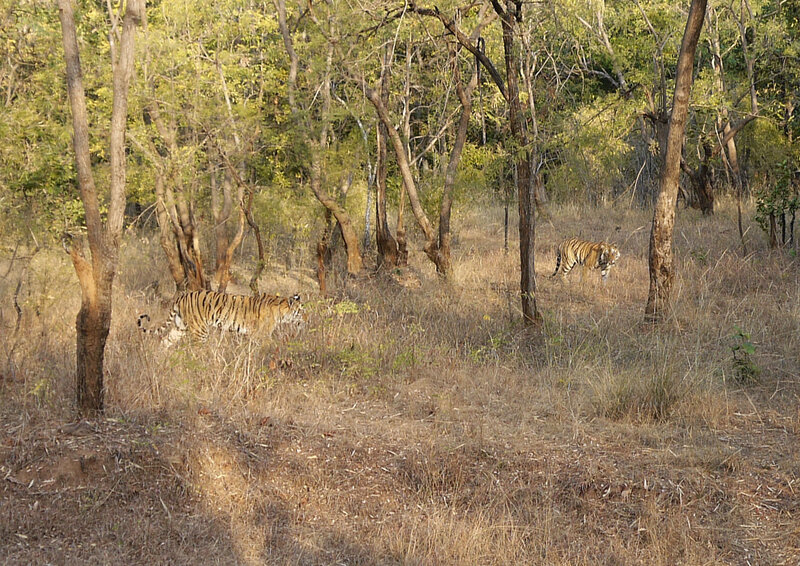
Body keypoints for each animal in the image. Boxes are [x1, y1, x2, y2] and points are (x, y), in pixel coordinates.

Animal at [137, 290, 306, 346]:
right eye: (301, 311)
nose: (306, 319)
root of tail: (181, 296)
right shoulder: (261, 335)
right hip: (200, 331)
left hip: (180, 328)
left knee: (165, 341)